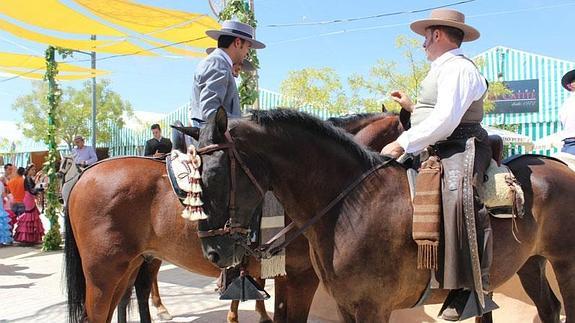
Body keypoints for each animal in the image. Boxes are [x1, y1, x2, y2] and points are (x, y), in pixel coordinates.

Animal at [196, 109, 572, 323]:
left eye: (214, 174)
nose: (213, 252)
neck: (352, 203)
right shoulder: (346, 305)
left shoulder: (371, 307)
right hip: (531, 263)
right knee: (549, 308)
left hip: (565, 263)